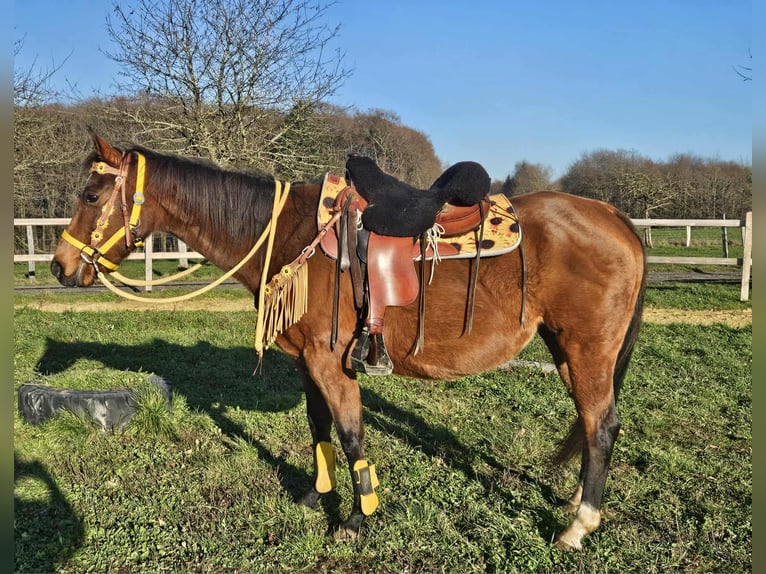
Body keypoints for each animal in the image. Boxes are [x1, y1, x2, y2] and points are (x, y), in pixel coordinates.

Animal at [51, 130, 646, 551]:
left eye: (91, 194)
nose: (59, 267)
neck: (290, 235)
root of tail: (616, 218)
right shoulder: (305, 362)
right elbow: (319, 428)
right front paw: (317, 497)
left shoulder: (331, 362)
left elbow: (352, 434)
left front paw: (358, 519)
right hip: (566, 352)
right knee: (592, 426)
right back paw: (577, 503)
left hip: (587, 351)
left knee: (602, 428)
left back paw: (578, 526)